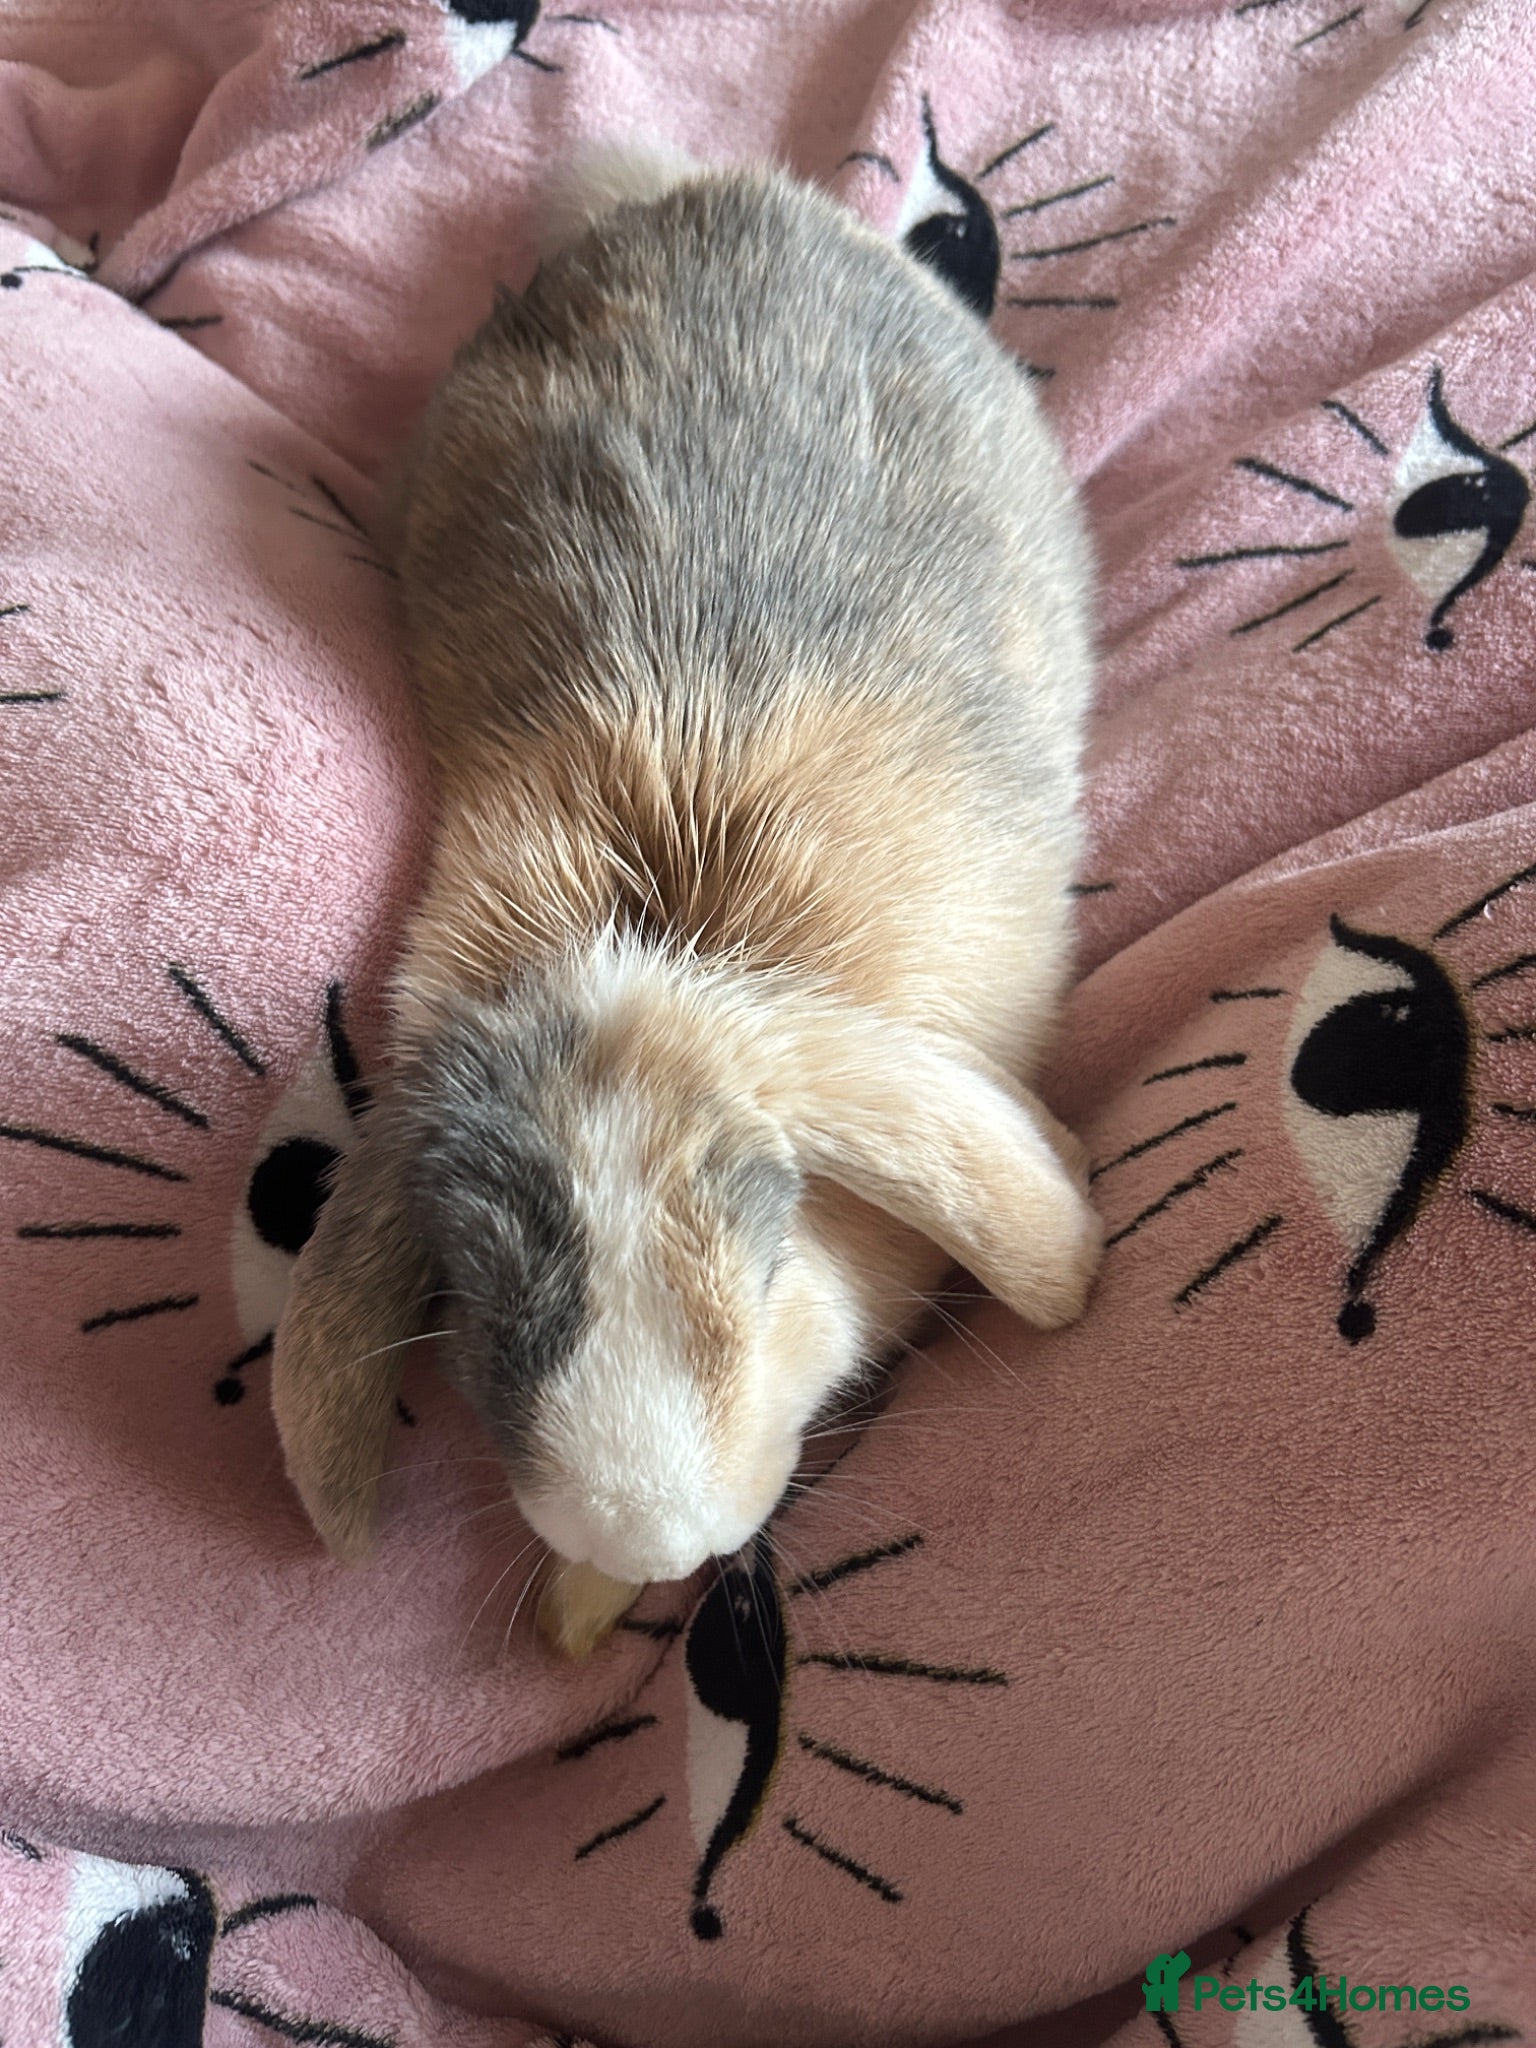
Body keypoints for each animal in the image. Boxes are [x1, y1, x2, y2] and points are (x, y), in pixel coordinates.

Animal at [270, 146, 1103, 1660]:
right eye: (490, 1309)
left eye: (767, 1243)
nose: (649, 1539)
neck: (664, 938)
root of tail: (705, 187)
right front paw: (579, 1613)